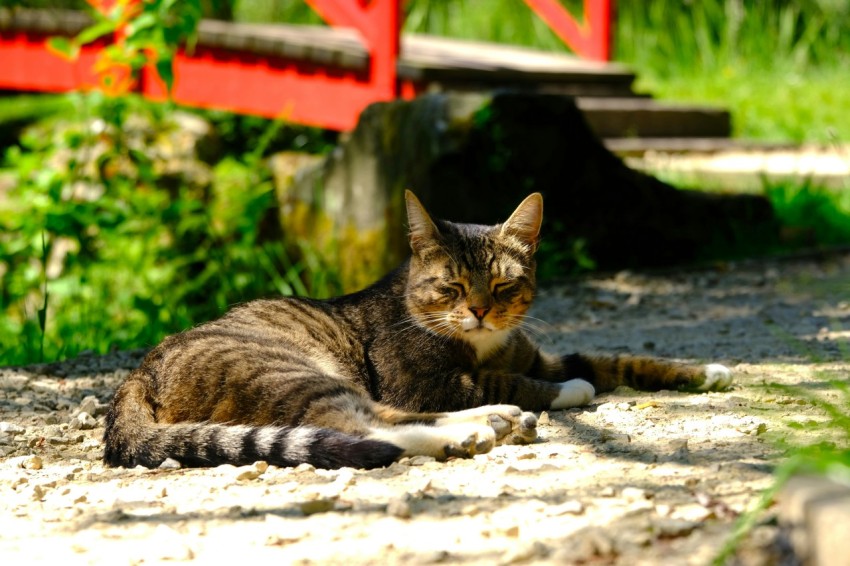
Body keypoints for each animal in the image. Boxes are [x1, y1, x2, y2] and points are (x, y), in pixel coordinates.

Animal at [104, 191, 728, 470]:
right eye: (451, 287)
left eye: (502, 286)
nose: (479, 311)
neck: (483, 343)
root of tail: (135, 376)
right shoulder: (425, 381)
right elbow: (520, 381)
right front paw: (569, 392)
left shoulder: (534, 355)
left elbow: (613, 359)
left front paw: (706, 372)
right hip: (295, 370)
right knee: (361, 423)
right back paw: (471, 432)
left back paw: (495, 424)